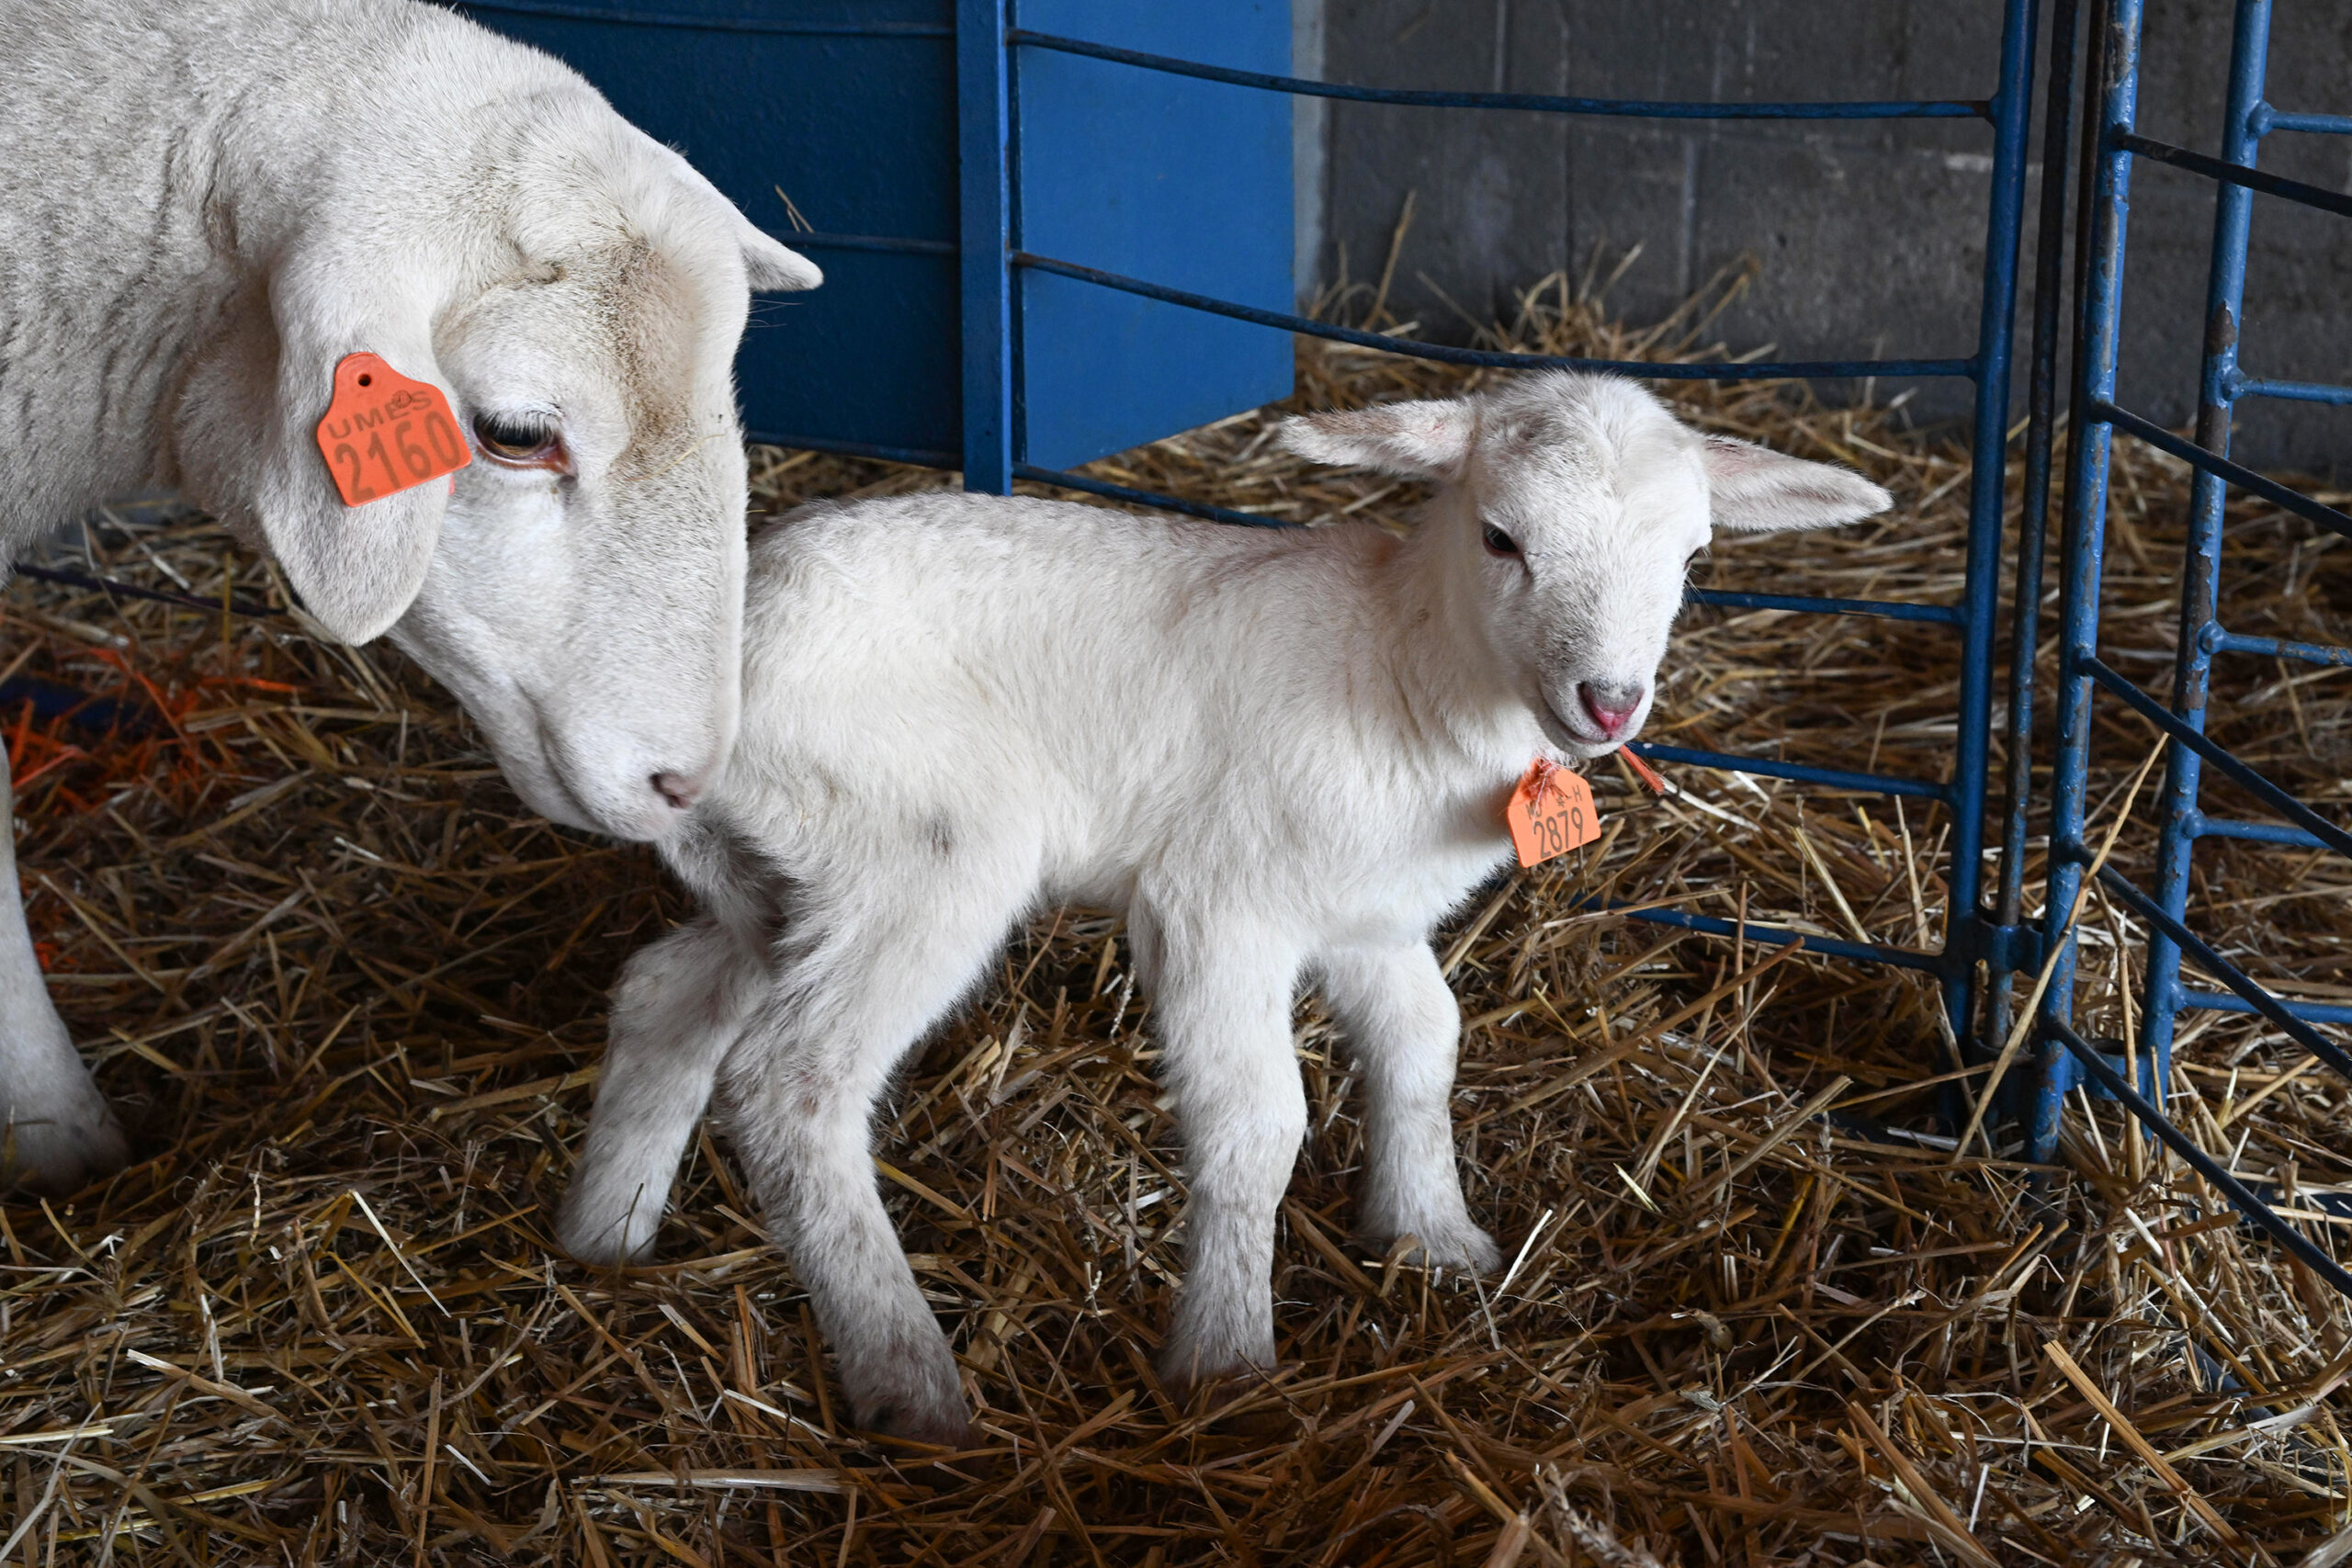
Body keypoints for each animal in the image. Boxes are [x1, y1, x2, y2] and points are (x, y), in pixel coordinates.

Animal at [558, 372, 1890, 1444]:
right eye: (1500, 535)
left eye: (1691, 558)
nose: (1608, 702)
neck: (1402, 666)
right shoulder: (1215, 903)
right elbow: (1258, 1120)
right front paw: (1227, 1356)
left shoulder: (1369, 918)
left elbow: (1425, 1048)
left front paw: (1432, 1234)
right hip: (923, 846)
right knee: (794, 1077)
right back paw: (909, 1377)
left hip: (784, 863)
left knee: (669, 991)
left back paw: (606, 1230)